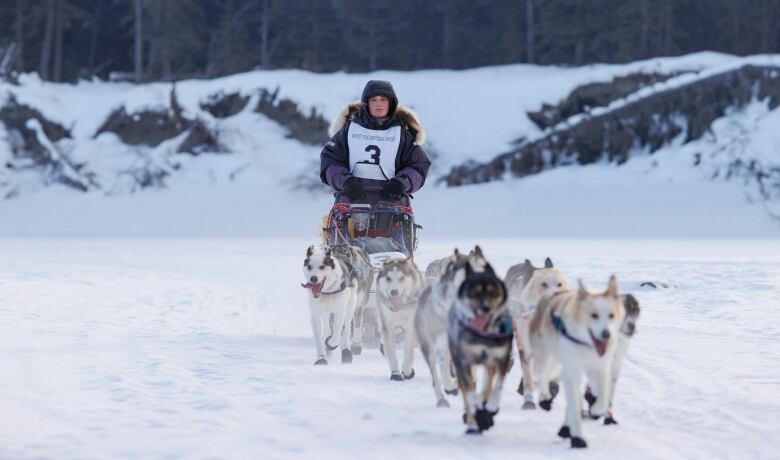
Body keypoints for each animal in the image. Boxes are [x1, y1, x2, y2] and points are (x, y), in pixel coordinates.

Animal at [444, 248, 512, 434]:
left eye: (493, 291)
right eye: (474, 291)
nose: (485, 307)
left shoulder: (498, 360)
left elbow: (492, 387)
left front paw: (488, 409)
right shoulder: (463, 362)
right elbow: (469, 393)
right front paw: (475, 419)